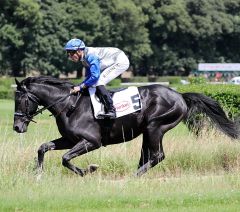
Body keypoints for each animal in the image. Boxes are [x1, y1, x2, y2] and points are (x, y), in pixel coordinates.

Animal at [13, 76, 240, 176]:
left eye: (21, 100)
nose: (16, 127)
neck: (69, 105)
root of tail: (180, 96)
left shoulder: (92, 141)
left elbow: (65, 158)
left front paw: (89, 170)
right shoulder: (70, 139)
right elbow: (43, 148)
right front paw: (38, 174)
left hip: (156, 127)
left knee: (157, 156)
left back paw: (133, 176)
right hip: (149, 131)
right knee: (147, 155)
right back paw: (136, 174)